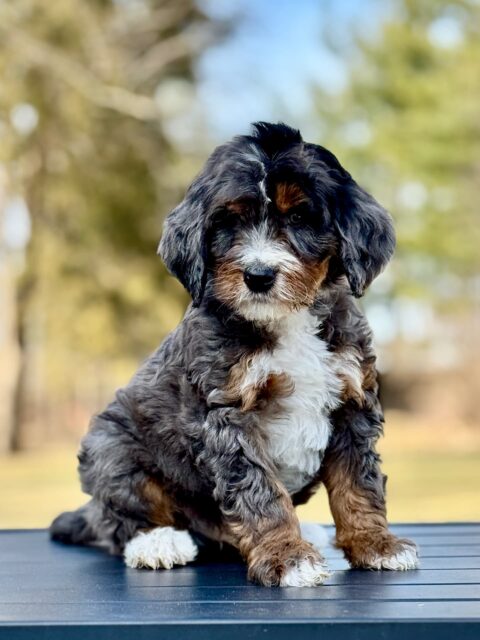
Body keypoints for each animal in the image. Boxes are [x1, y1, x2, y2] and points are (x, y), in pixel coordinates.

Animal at [52, 122, 418, 588]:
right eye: (228, 222)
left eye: (299, 218)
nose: (258, 275)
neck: (287, 320)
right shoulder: (227, 415)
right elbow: (261, 492)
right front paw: (287, 556)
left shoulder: (353, 402)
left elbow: (358, 482)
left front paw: (375, 543)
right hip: (110, 447)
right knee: (119, 521)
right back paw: (157, 543)